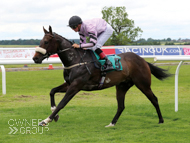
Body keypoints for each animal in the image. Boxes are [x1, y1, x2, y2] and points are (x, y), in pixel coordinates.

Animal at [32, 26, 171, 127]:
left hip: (143, 84)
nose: (35, 58)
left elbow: (62, 103)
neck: (76, 60)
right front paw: (54, 115)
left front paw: (46, 120)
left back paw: (161, 120)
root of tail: (142, 60)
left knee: (154, 99)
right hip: (122, 86)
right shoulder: (69, 83)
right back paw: (112, 123)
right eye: (40, 41)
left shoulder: (76, 86)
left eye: (46, 42)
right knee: (121, 106)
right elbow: (52, 91)